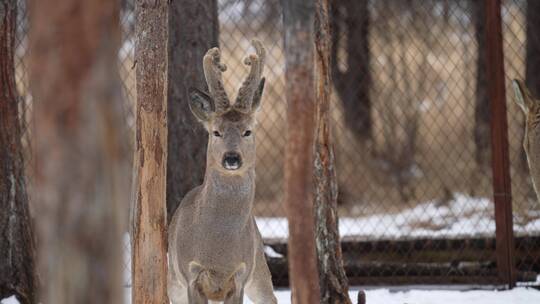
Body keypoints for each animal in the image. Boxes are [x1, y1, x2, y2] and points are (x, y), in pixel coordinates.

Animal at [168, 40, 278, 304]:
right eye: (215, 132)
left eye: (248, 131)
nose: (231, 157)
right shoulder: (191, 275)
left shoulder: (240, 275)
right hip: (173, 282)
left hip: (260, 270)